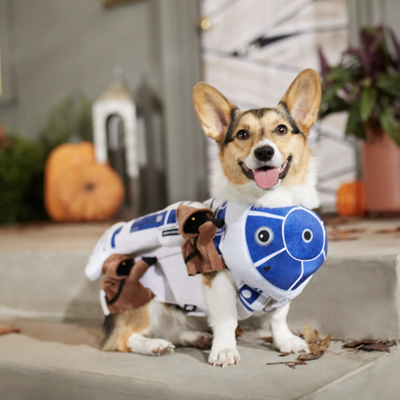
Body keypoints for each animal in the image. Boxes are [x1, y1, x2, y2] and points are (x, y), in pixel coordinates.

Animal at [87, 68, 322, 367]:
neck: (267, 202)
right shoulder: (217, 280)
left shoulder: (284, 288)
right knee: (123, 340)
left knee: (173, 330)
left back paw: (194, 337)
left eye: (281, 129)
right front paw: (225, 350)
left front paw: (286, 341)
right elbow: (226, 320)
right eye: (242, 134)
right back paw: (154, 345)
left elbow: (278, 317)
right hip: (144, 298)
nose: (264, 152)